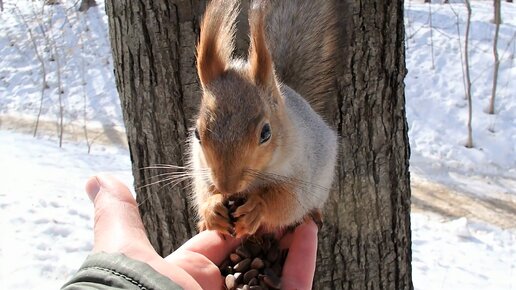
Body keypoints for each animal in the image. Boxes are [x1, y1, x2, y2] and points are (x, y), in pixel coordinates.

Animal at [189, 0, 338, 238]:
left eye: (266, 133)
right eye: (196, 133)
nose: (227, 186)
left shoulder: (300, 171)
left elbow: (285, 202)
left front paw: (256, 207)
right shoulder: (200, 168)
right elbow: (205, 191)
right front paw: (212, 208)